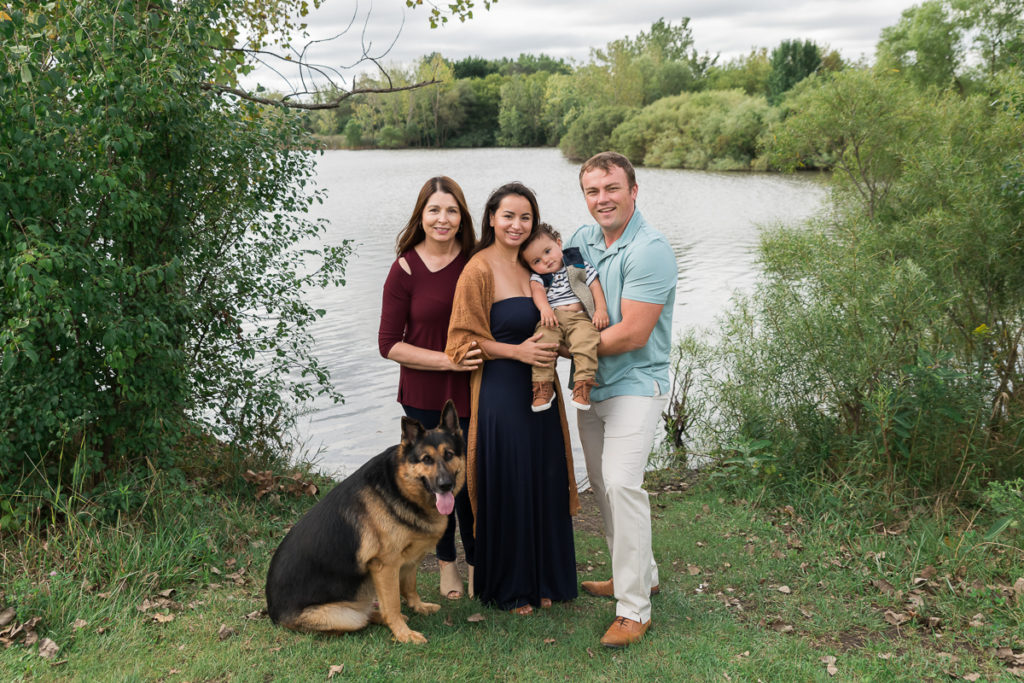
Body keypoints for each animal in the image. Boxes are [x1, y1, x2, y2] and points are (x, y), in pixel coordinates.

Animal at [268, 397, 468, 643]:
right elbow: (393, 604)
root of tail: (273, 614)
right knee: (363, 617)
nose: (445, 485)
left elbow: (410, 587)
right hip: (345, 616)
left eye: (449, 454)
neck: (399, 488)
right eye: (426, 459)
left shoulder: (410, 559)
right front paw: (403, 634)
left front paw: (418, 607)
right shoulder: (385, 566)